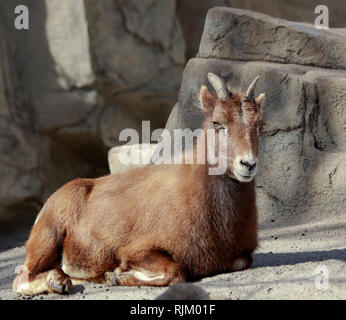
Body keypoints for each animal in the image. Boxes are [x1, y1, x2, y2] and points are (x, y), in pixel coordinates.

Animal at [12, 73, 264, 296]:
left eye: (259, 124)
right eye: (218, 123)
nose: (248, 164)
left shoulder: (240, 255)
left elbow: (242, 261)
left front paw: (111, 275)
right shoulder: (139, 250)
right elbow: (176, 271)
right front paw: (116, 275)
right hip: (48, 237)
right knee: (22, 277)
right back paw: (59, 283)